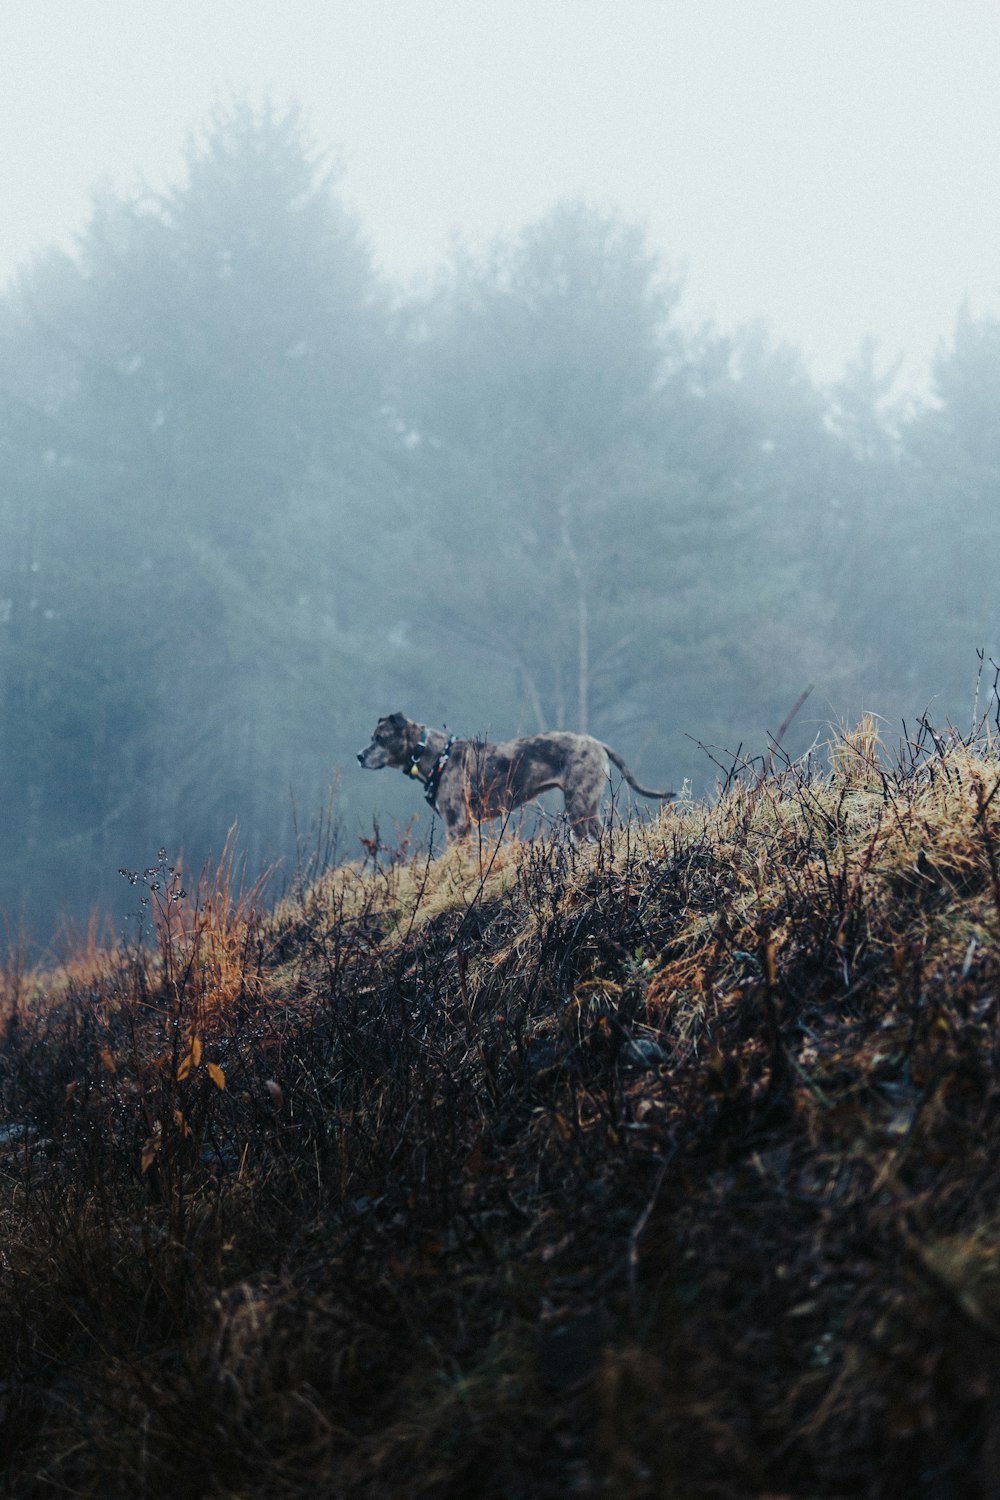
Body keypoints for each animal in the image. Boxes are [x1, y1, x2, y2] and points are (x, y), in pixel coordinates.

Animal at [355, 714, 677, 846]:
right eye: (371, 737)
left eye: (379, 738)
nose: (358, 756)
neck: (434, 754)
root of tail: (597, 743)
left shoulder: (457, 825)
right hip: (587, 805)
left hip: (578, 804)